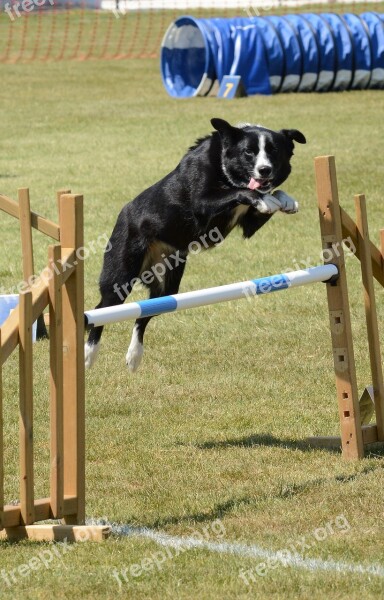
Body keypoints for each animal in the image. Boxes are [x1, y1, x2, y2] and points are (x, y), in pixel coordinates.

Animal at [85, 117, 306, 370]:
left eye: (274, 152)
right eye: (248, 152)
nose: (264, 169)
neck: (224, 166)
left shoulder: (249, 224)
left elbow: (275, 193)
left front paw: (286, 200)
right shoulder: (202, 204)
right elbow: (240, 192)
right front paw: (264, 198)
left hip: (168, 287)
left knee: (143, 314)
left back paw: (134, 356)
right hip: (120, 276)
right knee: (100, 310)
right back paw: (89, 354)